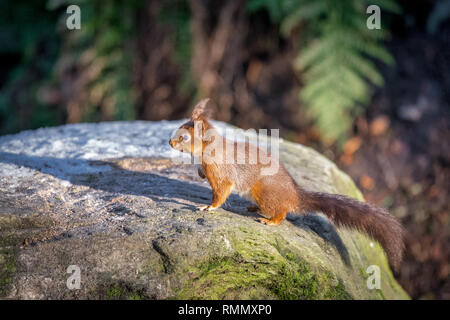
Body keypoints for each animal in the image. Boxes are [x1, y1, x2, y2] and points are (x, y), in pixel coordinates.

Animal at [169, 98, 404, 270]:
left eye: (184, 137)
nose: (170, 142)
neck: (211, 151)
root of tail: (294, 195)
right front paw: (199, 174)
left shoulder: (223, 175)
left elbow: (220, 194)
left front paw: (208, 207)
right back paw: (254, 208)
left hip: (266, 194)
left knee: (282, 212)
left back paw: (270, 221)